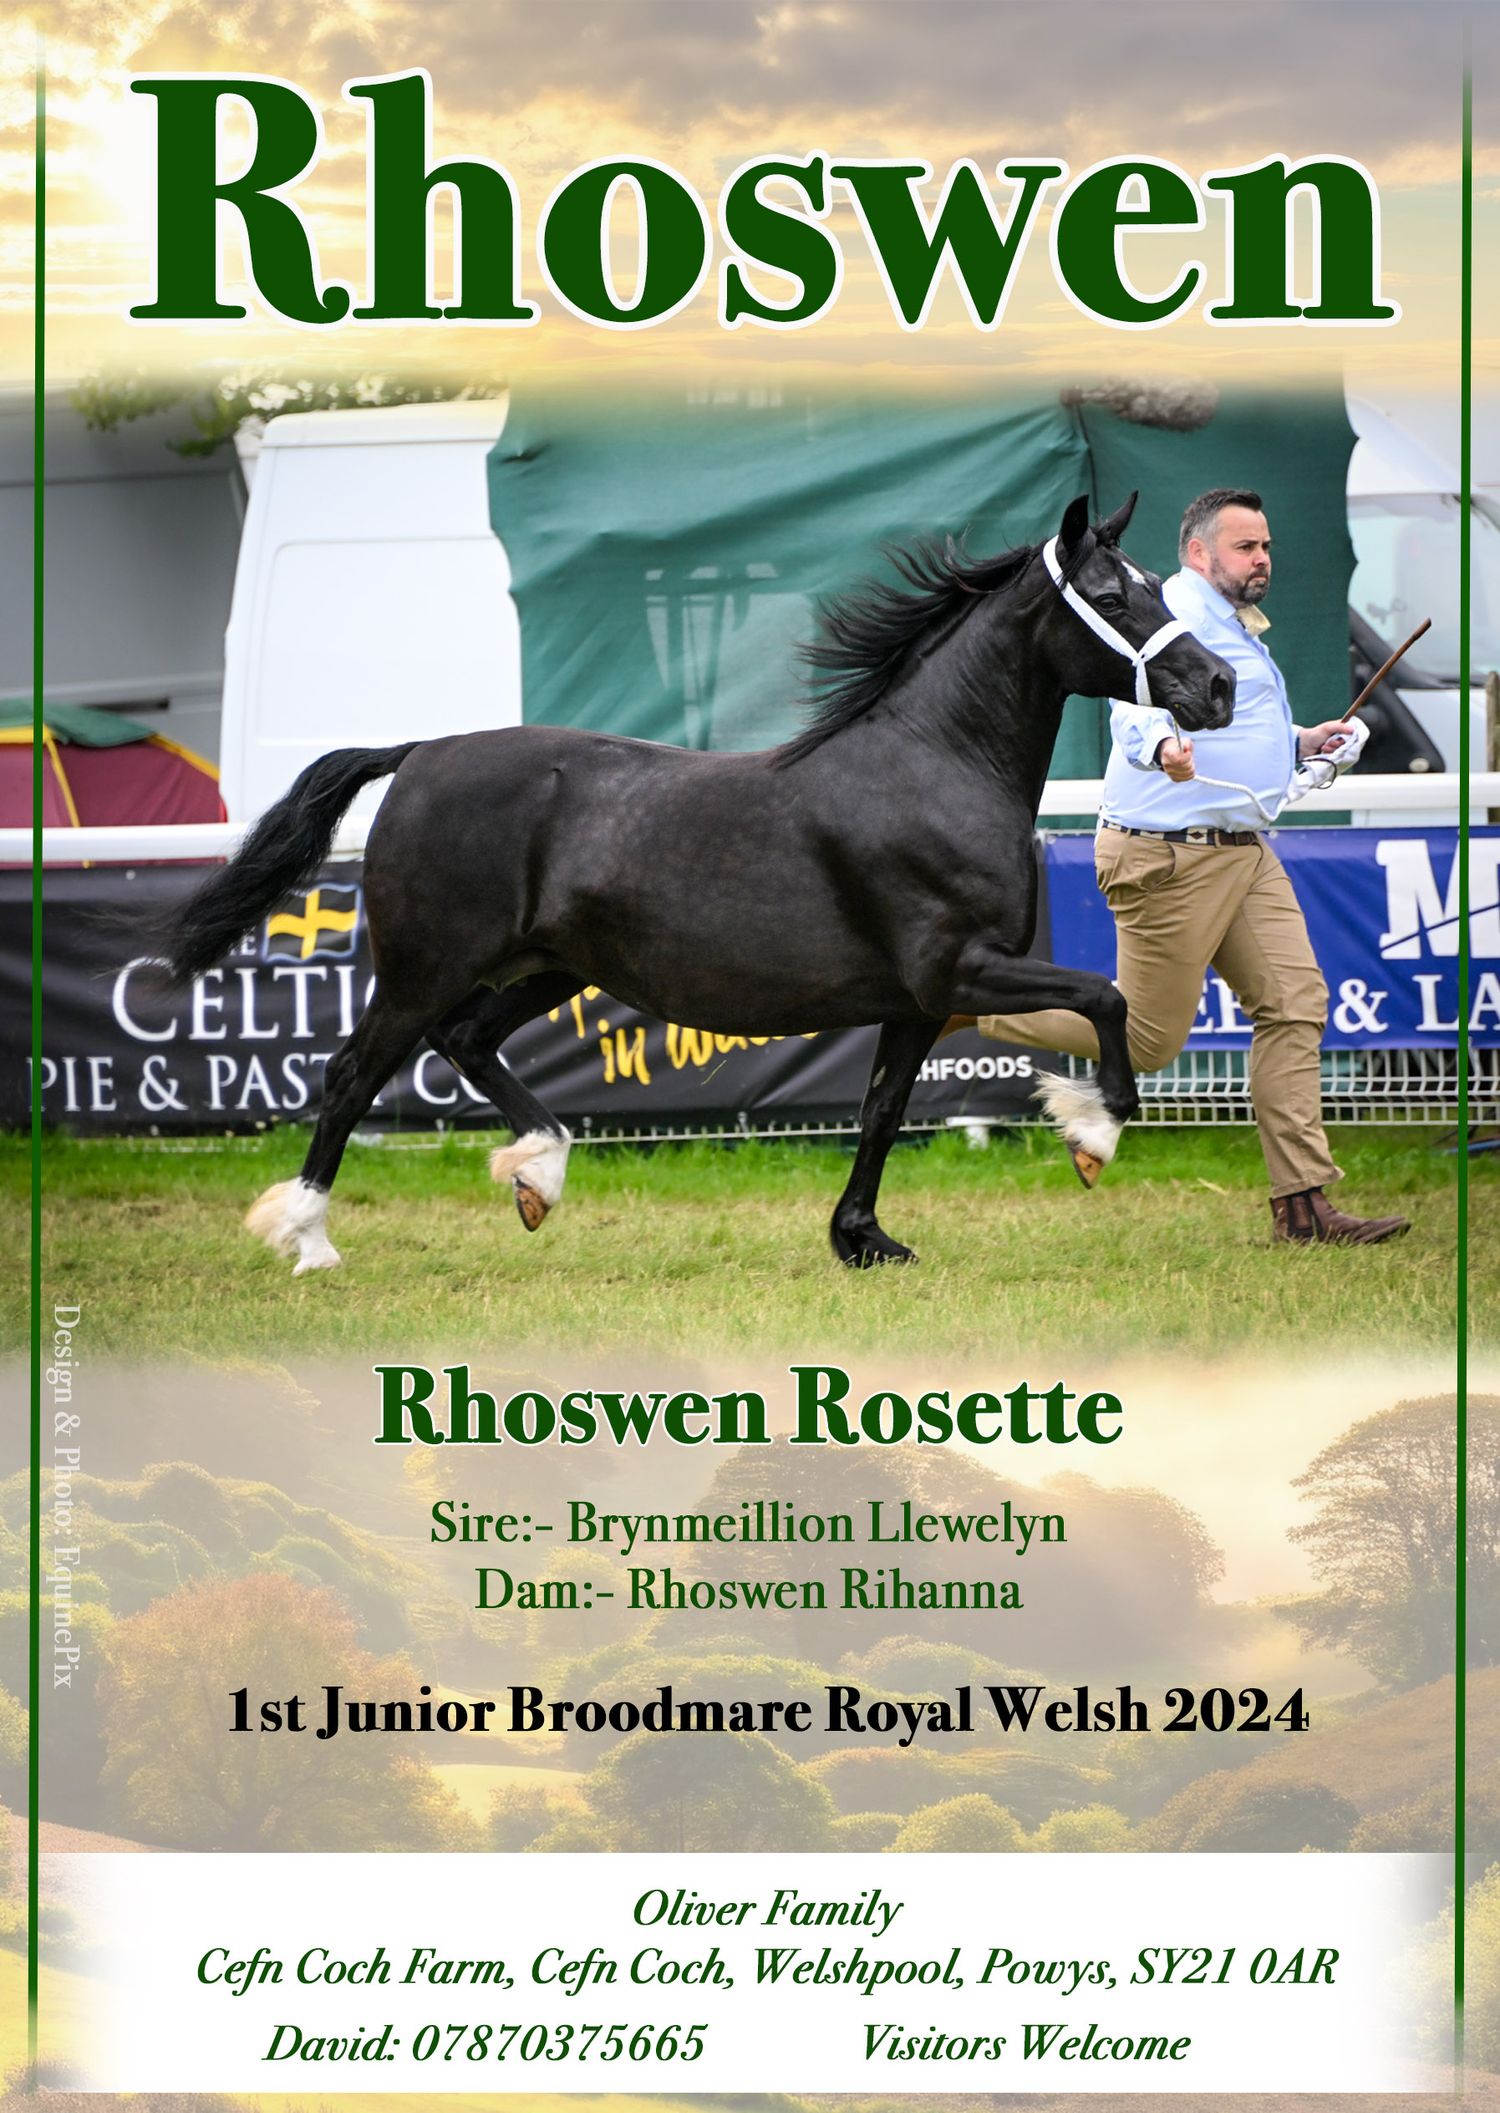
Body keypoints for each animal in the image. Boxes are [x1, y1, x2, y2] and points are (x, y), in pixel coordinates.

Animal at [159, 490, 1234, 1274]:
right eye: (1118, 597)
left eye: (1154, 585)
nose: (1217, 687)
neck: (935, 765)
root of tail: (421, 752)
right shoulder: (959, 969)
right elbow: (1105, 995)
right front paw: (1093, 1134)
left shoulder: (916, 1002)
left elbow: (883, 1111)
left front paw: (862, 1240)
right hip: (425, 967)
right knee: (351, 1074)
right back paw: (309, 1240)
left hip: (551, 965)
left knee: (465, 1040)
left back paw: (537, 1175)